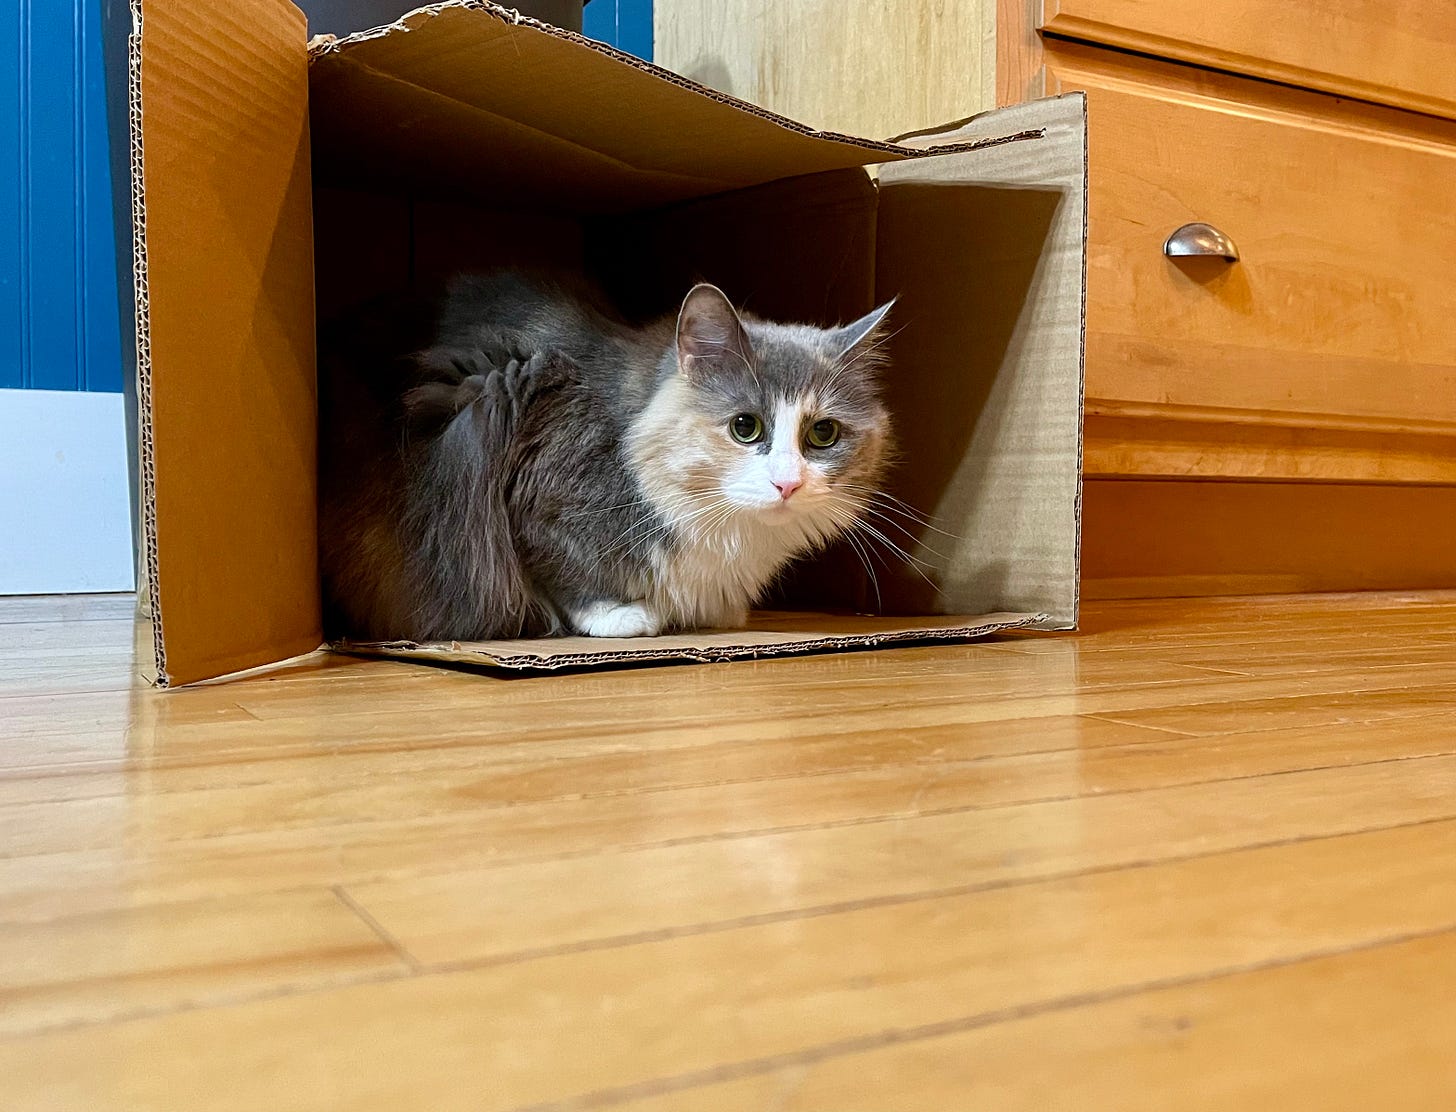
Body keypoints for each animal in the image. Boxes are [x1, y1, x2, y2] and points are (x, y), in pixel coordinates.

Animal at [318, 270, 896, 646]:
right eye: (744, 427)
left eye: (823, 434)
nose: (787, 484)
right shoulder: (534, 488)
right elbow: (564, 569)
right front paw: (623, 617)